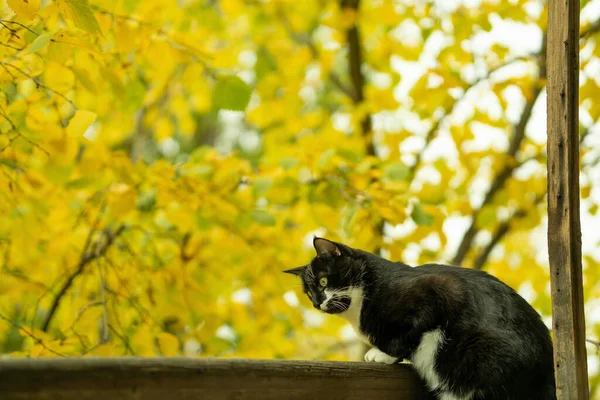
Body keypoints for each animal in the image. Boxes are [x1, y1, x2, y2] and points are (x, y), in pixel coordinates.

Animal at [284, 236, 556, 398]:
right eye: (308, 293)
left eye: (323, 282)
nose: (317, 302)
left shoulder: (439, 290)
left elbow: (411, 332)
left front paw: (382, 354)